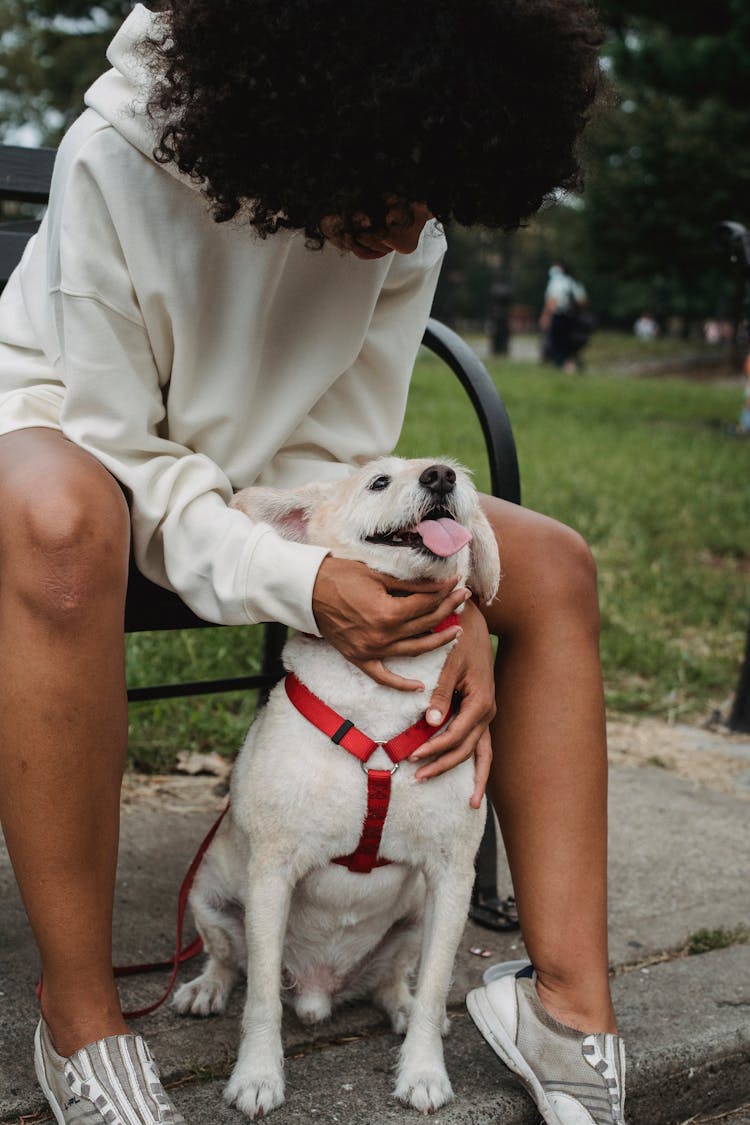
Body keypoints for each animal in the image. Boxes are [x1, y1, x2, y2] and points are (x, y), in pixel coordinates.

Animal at [175, 454, 501, 1116]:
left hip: (415, 918)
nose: (440, 476)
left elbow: (436, 986)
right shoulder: (271, 874)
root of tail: (320, 989)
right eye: (378, 481)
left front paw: (423, 1071)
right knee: (230, 964)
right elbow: (261, 999)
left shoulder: (452, 876)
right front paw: (257, 1076)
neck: (383, 697)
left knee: (394, 981)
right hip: (211, 897)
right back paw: (206, 989)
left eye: (457, 473)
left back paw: (400, 1005)